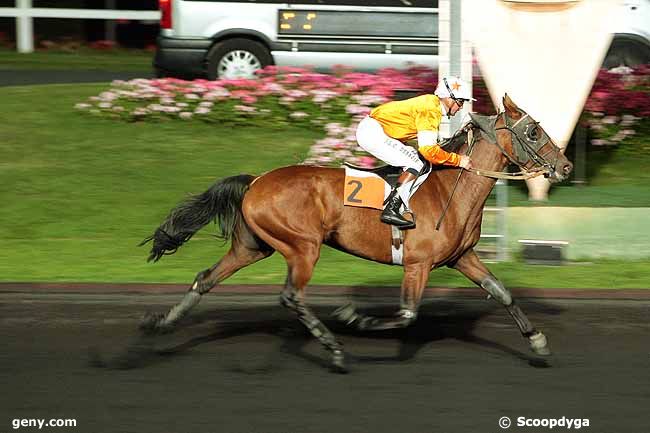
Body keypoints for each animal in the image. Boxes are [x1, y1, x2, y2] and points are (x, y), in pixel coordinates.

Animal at [142, 94, 572, 372]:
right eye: (534, 132)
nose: (566, 167)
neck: (452, 187)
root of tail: (256, 181)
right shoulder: (417, 264)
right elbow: (407, 314)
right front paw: (355, 318)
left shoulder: (461, 257)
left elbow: (502, 292)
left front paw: (538, 341)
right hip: (303, 246)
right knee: (291, 296)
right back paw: (334, 350)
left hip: (254, 246)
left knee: (205, 278)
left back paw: (162, 323)